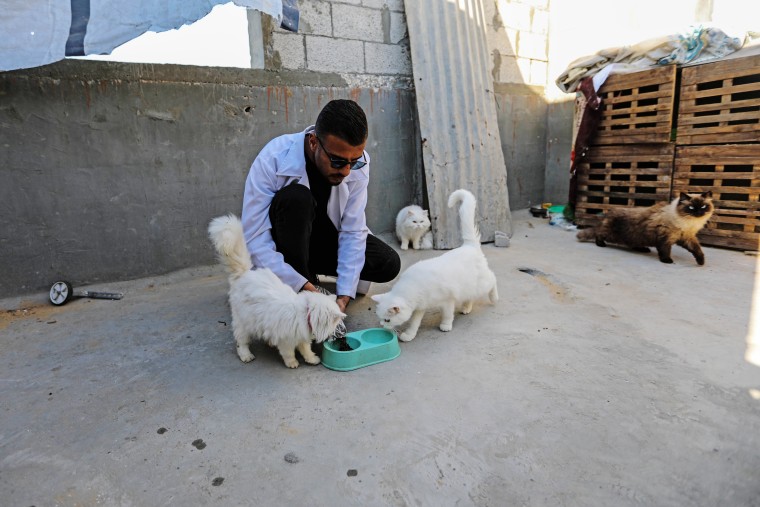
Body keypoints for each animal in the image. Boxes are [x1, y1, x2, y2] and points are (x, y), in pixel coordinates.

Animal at [211, 214, 348, 370]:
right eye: (337, 326)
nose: (340, 335)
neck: (306, 314)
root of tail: (245, 273)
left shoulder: (302, 338)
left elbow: (306, 349)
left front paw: (312, 359)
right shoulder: (286, 340)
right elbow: (288, 353)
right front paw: (292, 363)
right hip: (244, 323)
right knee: (241, 342)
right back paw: (246, 355)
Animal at [372, 190, 498, 342]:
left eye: (387, 320)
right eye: (380, 318)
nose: (382, 326)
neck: (412, 286)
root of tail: (469, 245)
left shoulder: (448, 300)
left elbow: (448, 314)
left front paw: (446, 325)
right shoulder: (420, 307)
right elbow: (414, 323)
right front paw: (409, 335)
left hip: (481, 283)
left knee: (493, 279)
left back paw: (494, 298)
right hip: (469, 286)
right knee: (471, 295)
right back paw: (466, 307)